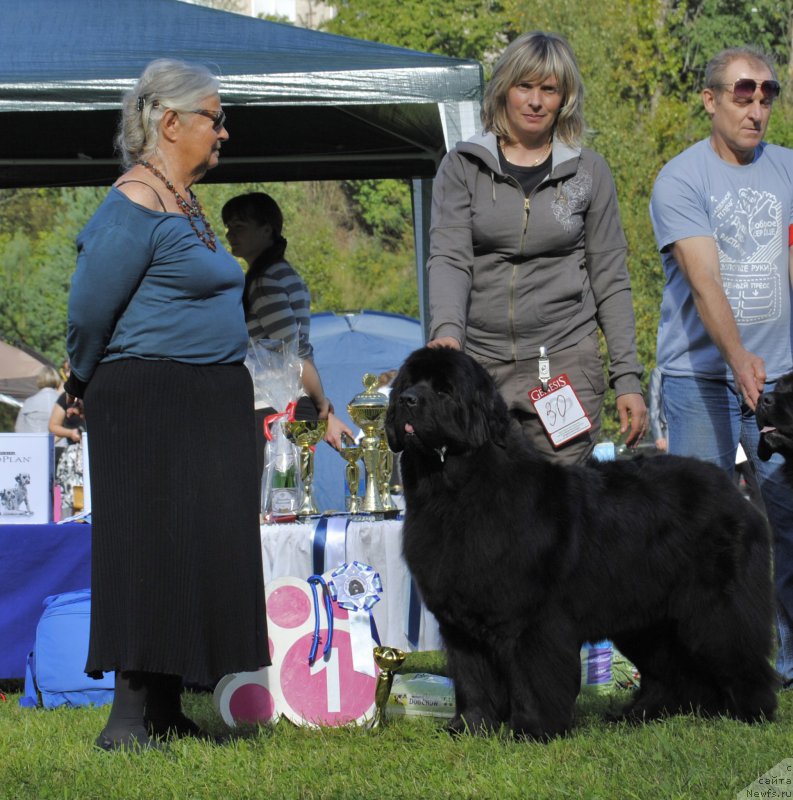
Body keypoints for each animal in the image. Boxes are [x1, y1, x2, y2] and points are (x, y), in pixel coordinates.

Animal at [386, 346, 776, 740]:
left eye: (445, 390)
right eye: (407, 384)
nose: (406, 400)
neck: (454, 494)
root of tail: (732, 491)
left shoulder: (531, 618)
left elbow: (531, 676)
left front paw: (532, 730)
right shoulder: (460, 623)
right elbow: (472, 679)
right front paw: (470, 727)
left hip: (712, 607)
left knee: (737, 649)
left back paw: (752, 713)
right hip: (644, 616)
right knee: (671, 668)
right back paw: (642, 714)